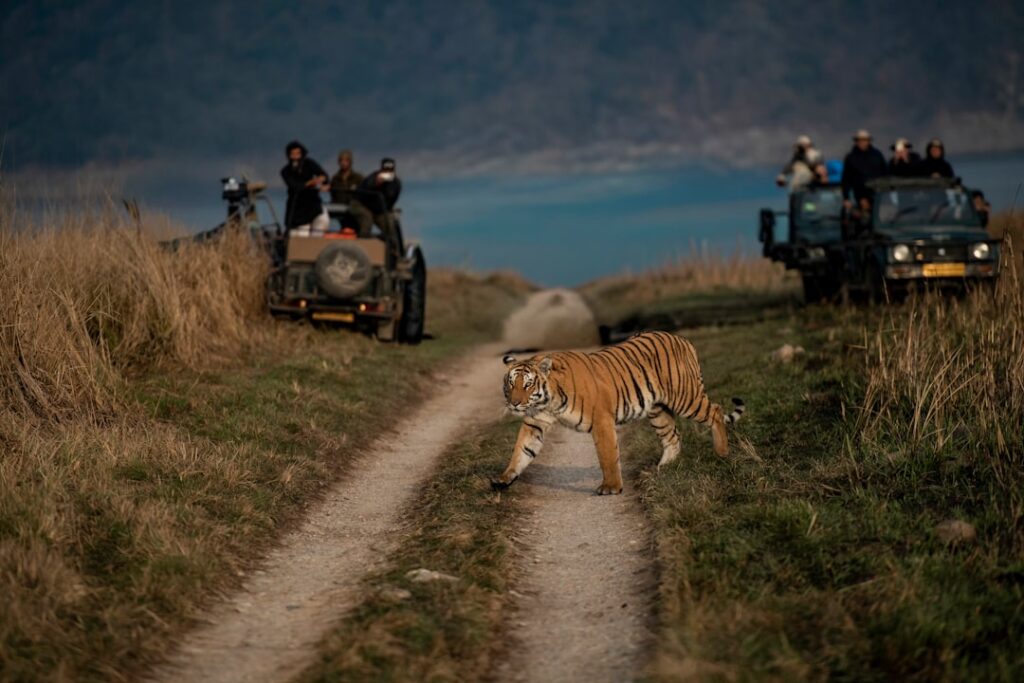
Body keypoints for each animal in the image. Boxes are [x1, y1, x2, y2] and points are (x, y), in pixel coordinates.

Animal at [493, 330, 744, 495]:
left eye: (528, 385)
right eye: (510, 383)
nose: (514, 404)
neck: (549, 400)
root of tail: (682, 339)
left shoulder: (601, 420)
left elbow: (607, 455)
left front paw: (611, 487)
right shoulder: (535, 422)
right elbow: (521, 450)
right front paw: (504, 478)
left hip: (685, 397)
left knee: (716, 411)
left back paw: (722, 452)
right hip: (658, 411)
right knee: (672, 436)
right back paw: (661, 468)